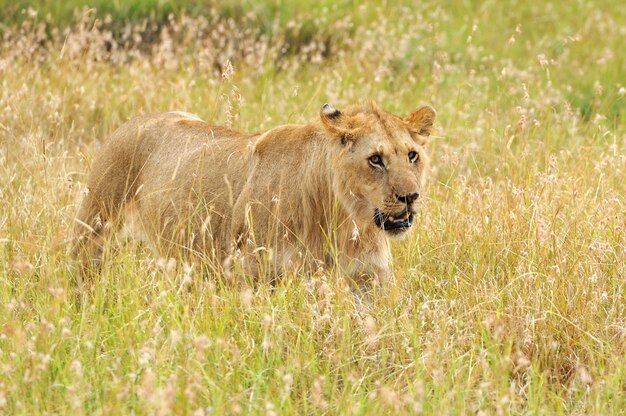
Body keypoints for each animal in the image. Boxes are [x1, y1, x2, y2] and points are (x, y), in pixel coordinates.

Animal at [73, 101, 434, 290]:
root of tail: (134, 120)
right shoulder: (249, 274)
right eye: (375, 159)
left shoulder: (369, 279)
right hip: (93, 231)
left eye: (412, 155)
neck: (343, 220)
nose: (410, 196)